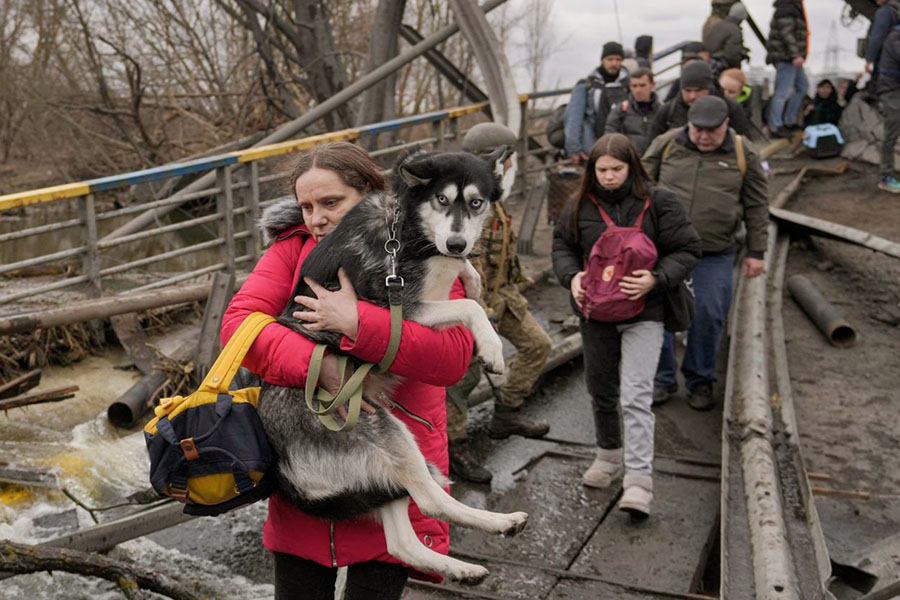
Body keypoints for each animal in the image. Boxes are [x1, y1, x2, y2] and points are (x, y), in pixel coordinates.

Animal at [256, 148, 528, 584]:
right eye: (441, 199)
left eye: (476, 203)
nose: (456, 243)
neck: (408, 227)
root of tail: (282, 470)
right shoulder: (401, 308)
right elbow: (468, 309)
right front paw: (490, 347)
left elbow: (468, 286)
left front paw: (472, 278)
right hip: (385, 431)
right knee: (431, 501)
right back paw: (498, 524)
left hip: (376, 472)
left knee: (401, 542)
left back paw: (463, 566)